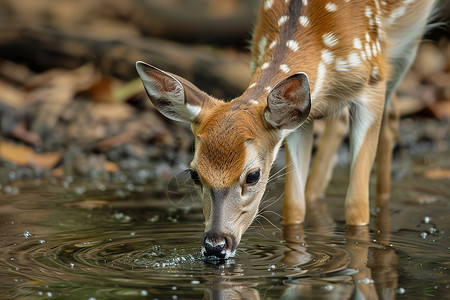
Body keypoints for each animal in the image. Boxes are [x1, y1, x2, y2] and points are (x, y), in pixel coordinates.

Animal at [136, 0, 436, 258]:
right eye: (194, 174)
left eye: (253, 176)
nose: (215, 245)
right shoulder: (297, 122)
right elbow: (293, 206)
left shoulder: (372, 80)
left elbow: (356, 207)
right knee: (340, 122)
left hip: (402, 48)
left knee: (391, 118)